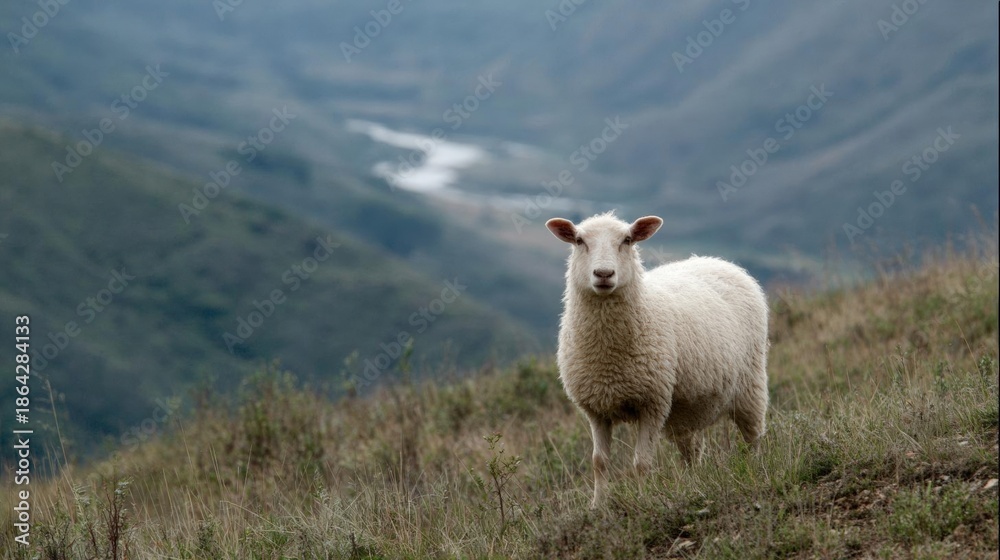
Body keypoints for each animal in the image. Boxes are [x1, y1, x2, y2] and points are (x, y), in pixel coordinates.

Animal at [545, 211, 769, 507]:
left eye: (627, 240)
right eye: (580, 241)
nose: (604, 274)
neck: (609, 359)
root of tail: (718, 261)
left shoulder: (653, 403)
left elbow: (641, 463)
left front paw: (642, 501)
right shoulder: (596, 409)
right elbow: (599, 462)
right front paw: (598, 506)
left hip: (751, 383)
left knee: (753, 436)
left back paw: (755, 470)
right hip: (687, 409)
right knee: (692, 451)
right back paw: (692, 485)